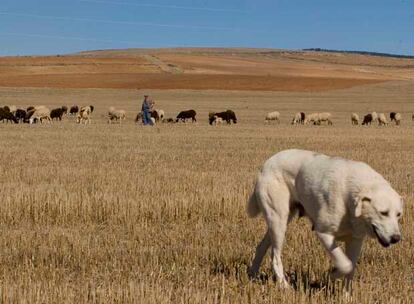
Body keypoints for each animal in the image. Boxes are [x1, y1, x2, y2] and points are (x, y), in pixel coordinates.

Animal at [247, 150, 402, 290]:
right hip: (279, 219)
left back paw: (252, 274)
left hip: (281, 221)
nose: (396, 238)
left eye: (399, 215)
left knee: (261, 247)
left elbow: (351, 268)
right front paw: (331, 275)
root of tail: (266, 164)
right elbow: (346, 265)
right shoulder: (324, 233)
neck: (349, 199)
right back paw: (284, 286)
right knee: (275, 256)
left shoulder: (355, 241)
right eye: (383, 213)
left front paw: (346, 296)